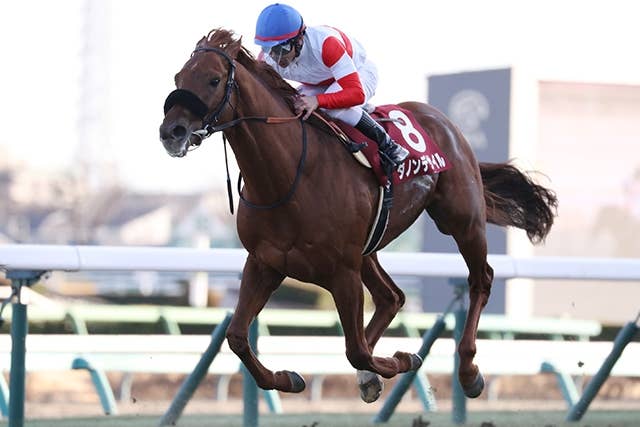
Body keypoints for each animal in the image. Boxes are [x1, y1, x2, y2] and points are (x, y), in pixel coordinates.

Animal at [159, 29, 557, 402]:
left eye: (213, 79)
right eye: (178, 77)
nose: (171, 132)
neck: (290, 175)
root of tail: (443, 121)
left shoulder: (342, 271)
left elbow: (358, 351)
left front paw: (402, 360)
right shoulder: (264, 263)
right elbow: (238, 337)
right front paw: (288, 378)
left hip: (462, 220)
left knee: (480, 279)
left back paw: (469, 371)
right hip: (370, 247)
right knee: (392, 297)